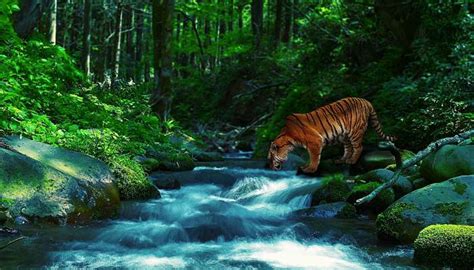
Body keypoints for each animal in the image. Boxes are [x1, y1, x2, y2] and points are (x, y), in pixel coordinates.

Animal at [266, 97, 396, 173]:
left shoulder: (315, 141)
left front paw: (310, 169)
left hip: (355, 131)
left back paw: (351, 161)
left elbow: (314, 157)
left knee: (359, 147)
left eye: (271, 157)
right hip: (345, 135)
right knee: (348, 148)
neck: (289, 140)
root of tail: (366, 101)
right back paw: (341, 160)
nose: (271, 168)